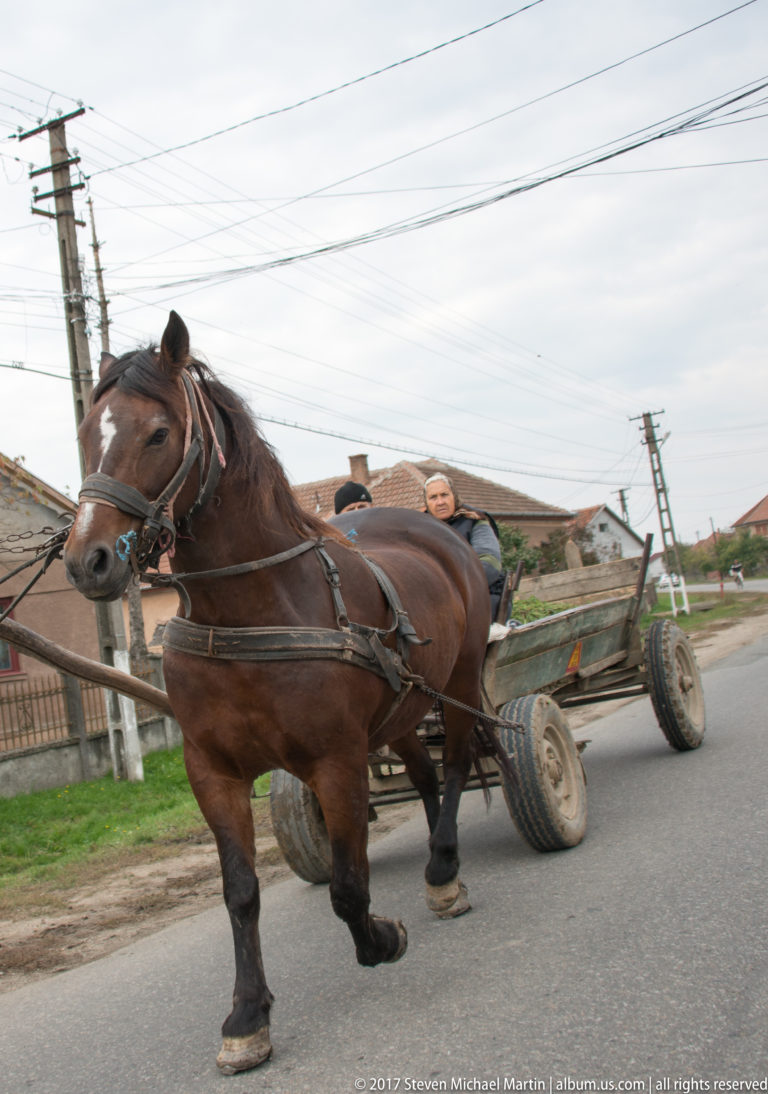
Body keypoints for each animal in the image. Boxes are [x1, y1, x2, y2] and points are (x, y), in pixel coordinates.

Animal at [63, 311, 491, 1075]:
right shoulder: (214, 771)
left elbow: (349, 888)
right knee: (423, 773)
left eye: (158, 434)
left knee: (460, 763)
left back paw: (444, 869)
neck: (251, 609)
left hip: (461, 681)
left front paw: (381, 937)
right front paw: (246, 1015)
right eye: (88, 432)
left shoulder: (335, 761)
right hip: (400, 711)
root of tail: (434, 528)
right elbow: (240, 892)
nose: (89, 561)